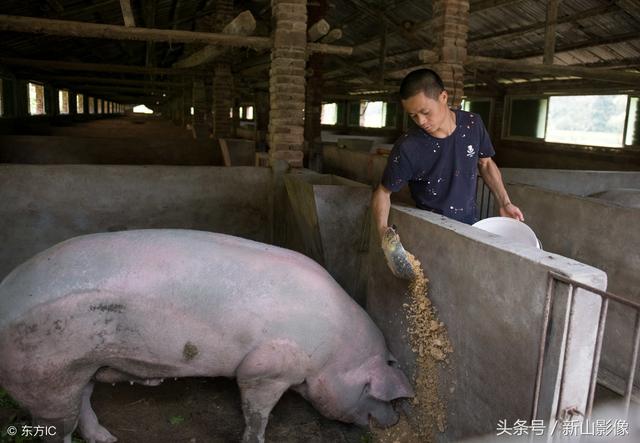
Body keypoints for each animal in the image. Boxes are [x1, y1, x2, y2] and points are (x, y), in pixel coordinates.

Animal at [0, 231, 412, 442]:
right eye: (374, 392)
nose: (394, 420)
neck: (334, 354)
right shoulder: (266, 367)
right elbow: (257, 412)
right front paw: (254, 439)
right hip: (46, 377)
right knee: (58, 426)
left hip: (81, 366)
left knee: (84, 400)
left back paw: (109, 439)